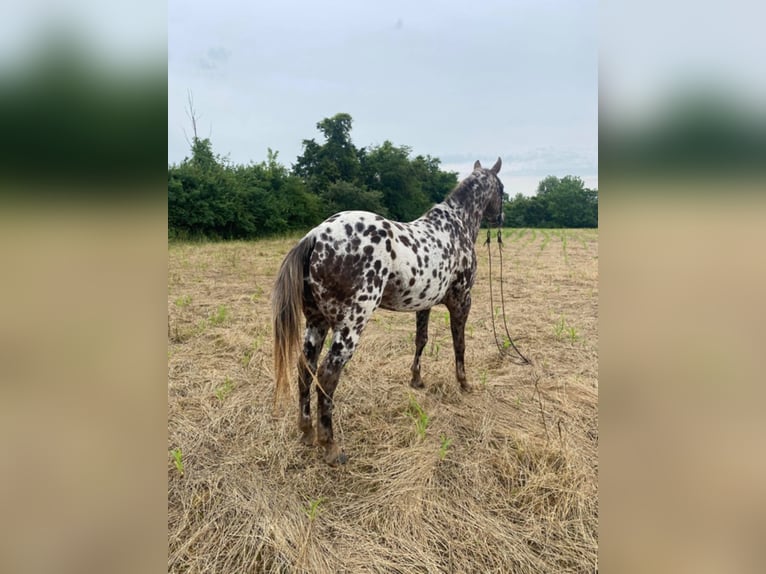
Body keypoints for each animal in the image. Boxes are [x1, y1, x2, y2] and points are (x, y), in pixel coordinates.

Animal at [272, 159, 508, 468]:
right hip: (350, 325)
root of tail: (315, 236)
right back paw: (331, 446)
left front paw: (417, 379)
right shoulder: (462, 301)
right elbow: (460, 345)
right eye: (502, 189)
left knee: (305, 367)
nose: (501, 218)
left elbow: (421, 340)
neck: (456, 226)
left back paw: (307, 431)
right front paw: (464, 383)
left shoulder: (424, 304)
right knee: (327, 374)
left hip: (316, 322)